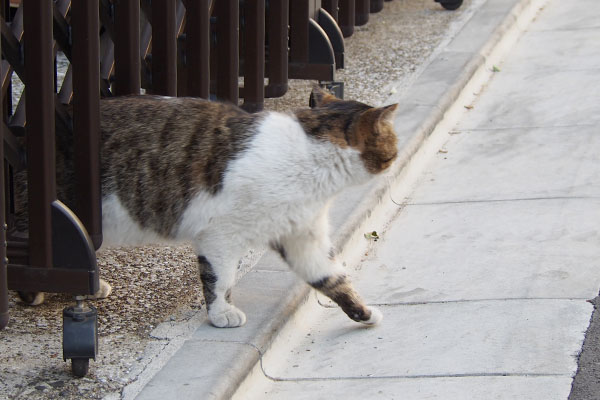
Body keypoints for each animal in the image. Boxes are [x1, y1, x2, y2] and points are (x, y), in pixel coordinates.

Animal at [18, 87, 398, 328]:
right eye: (392, 141)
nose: (397, 149)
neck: (309, 158)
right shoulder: (221, 235)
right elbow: (220, 277)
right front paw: (221, 314)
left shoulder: (303, 239)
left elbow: (332, 279)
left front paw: (364, 314)